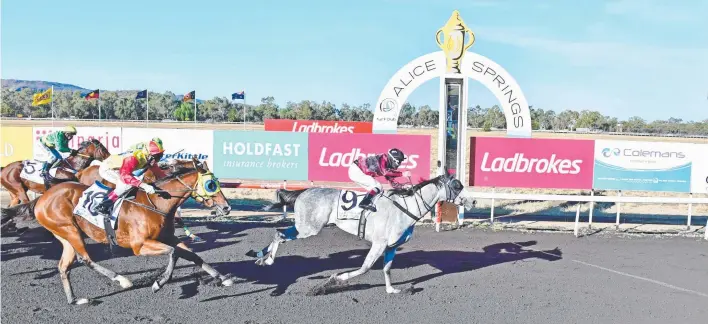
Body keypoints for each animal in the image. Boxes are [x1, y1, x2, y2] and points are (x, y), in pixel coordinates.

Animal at [1, 157, 236, 304]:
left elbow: (192, 255)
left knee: (64, 267)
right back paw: (122, 280)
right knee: (85, 259)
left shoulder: (168, 237)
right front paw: (159, 283)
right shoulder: (139, 245)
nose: (226, 208)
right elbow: (173, 253)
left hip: (64, 235)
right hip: (70, 230)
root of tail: (42, 199)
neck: (157, 203)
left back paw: (75, 300)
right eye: (211, 185)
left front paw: (223, 278)